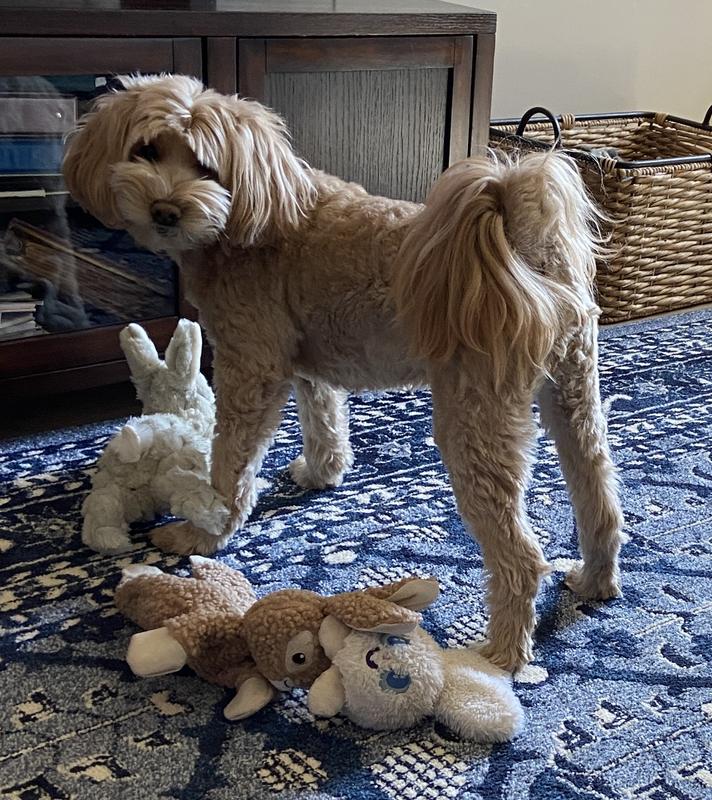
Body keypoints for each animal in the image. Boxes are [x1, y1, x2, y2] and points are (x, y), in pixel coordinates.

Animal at [63, 75, 624, 671]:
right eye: (146, 150)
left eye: (206, 167)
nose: (165, 210)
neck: (255, 216)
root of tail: (523, 241)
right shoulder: (309, 367)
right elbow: (324, 423)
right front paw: (320, 474)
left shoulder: (251, 367)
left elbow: (230, 465)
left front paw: (203, 533)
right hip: (573, 396)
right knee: (600, 500)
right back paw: (594, 581)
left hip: (476, 420)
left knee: (521, 557)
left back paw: (500, 654)